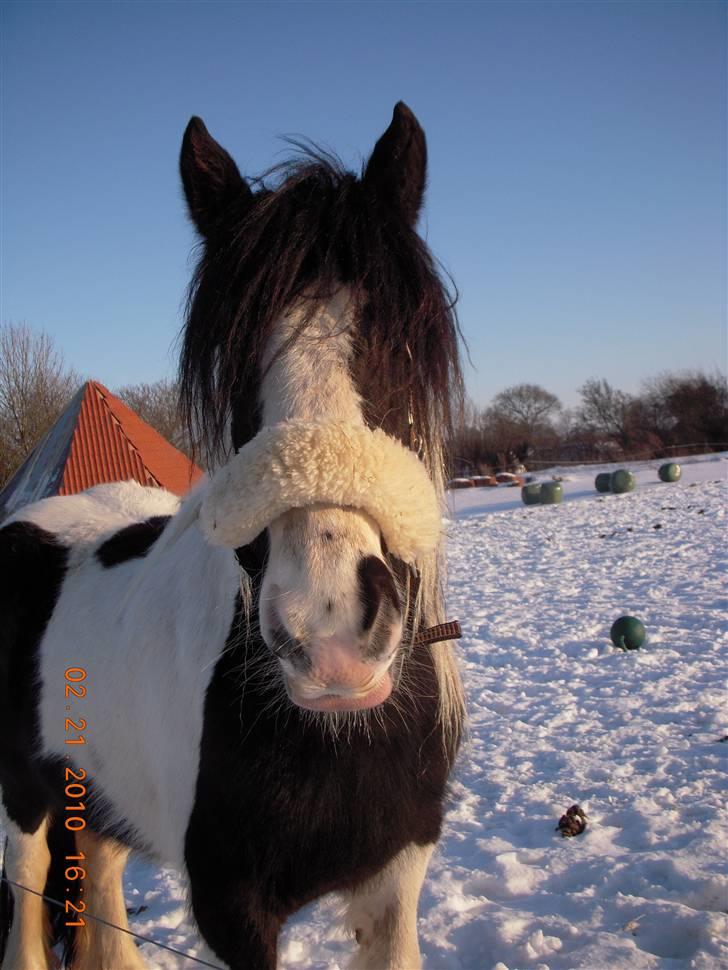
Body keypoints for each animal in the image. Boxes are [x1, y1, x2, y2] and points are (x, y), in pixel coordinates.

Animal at [0, 102, 464, 964]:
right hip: (25, 791)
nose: (329, 628)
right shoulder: (232, 910)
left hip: (98, 791)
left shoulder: (396, 882)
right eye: (236, 357)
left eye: (397, 341)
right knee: (29, 889)